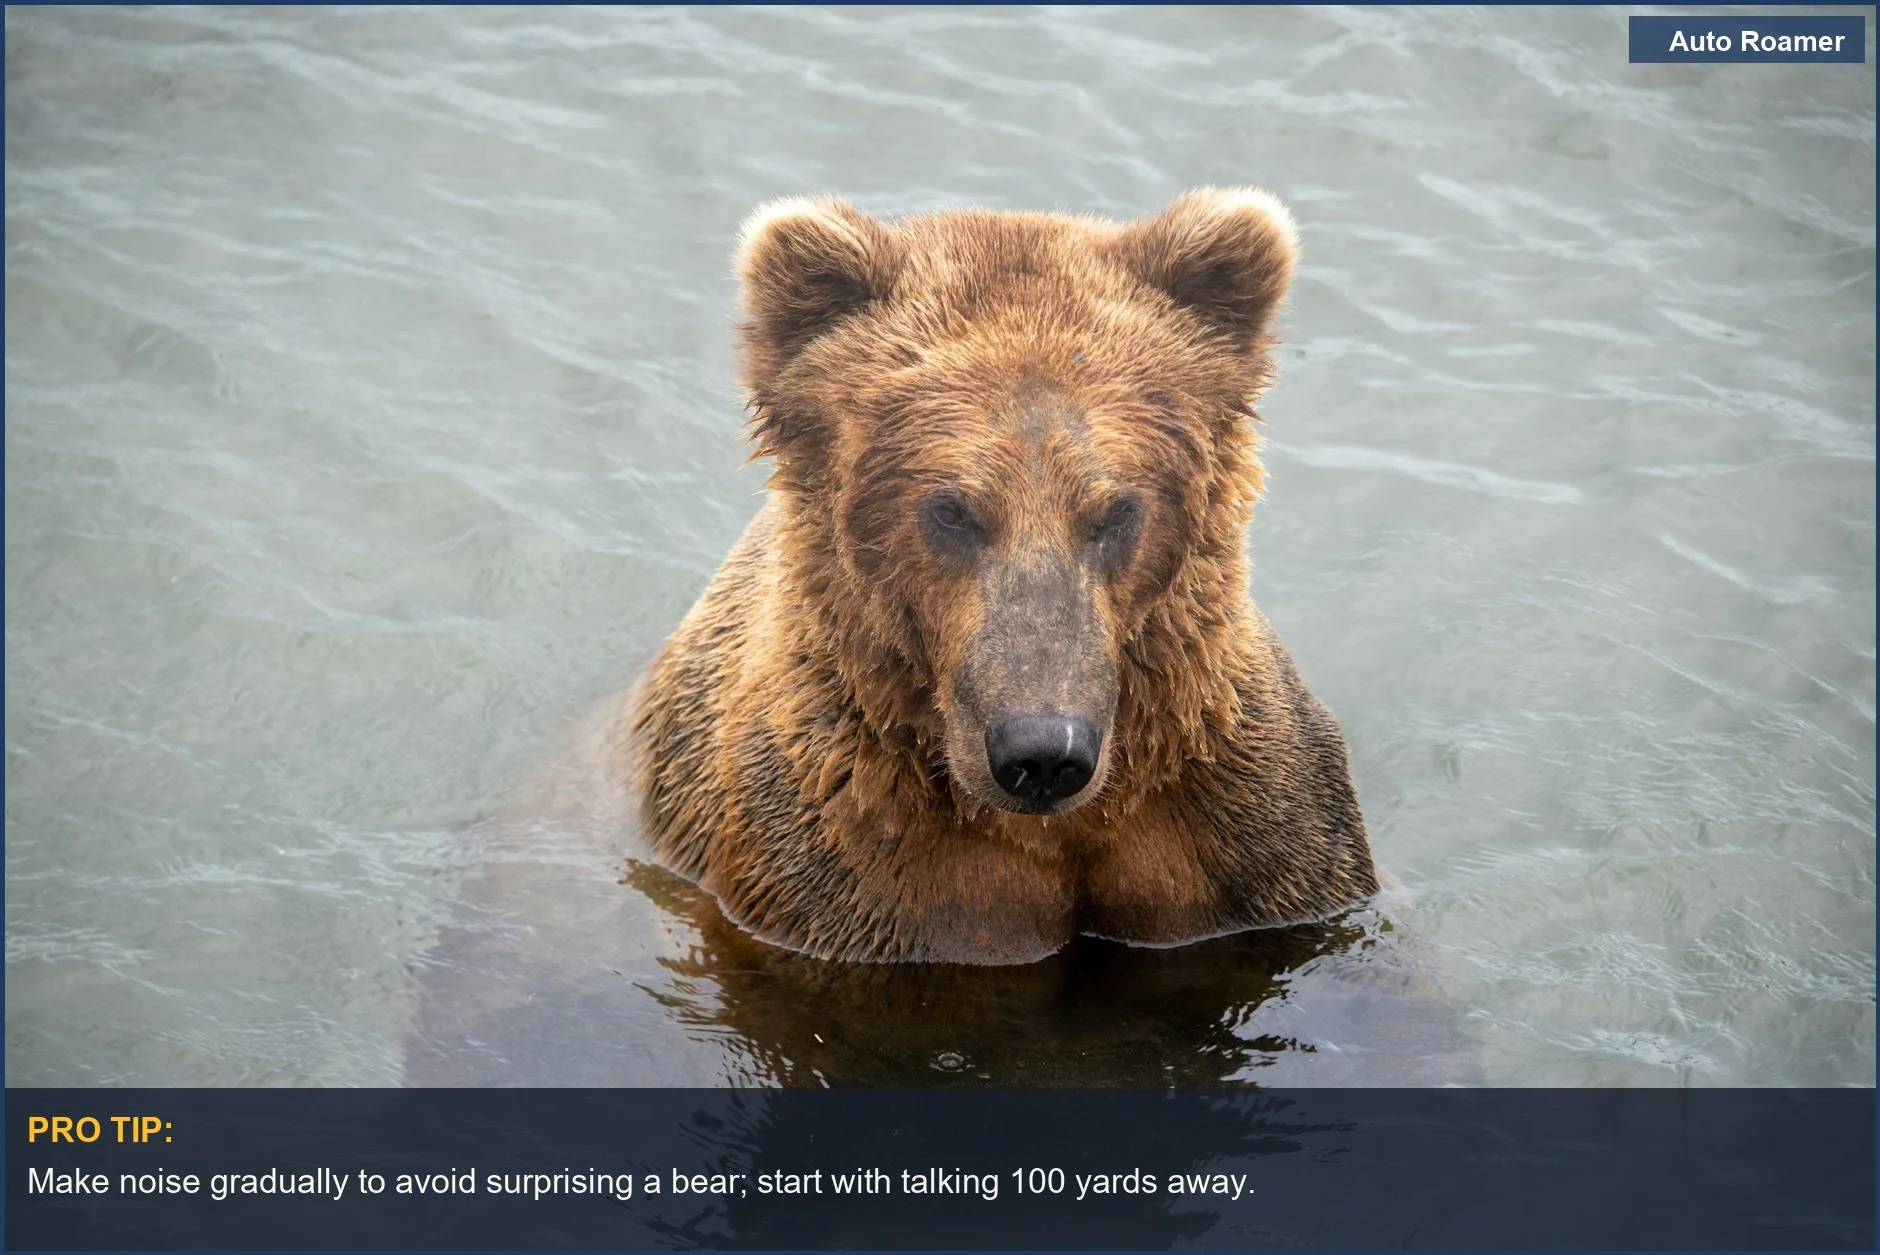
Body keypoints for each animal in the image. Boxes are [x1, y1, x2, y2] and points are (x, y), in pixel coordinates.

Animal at [628, 187, 1376, 965]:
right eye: (952, 509)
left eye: (1116, 509)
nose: (1043, 753)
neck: (1067, 827)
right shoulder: (850, 871)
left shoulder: (1247, 834)